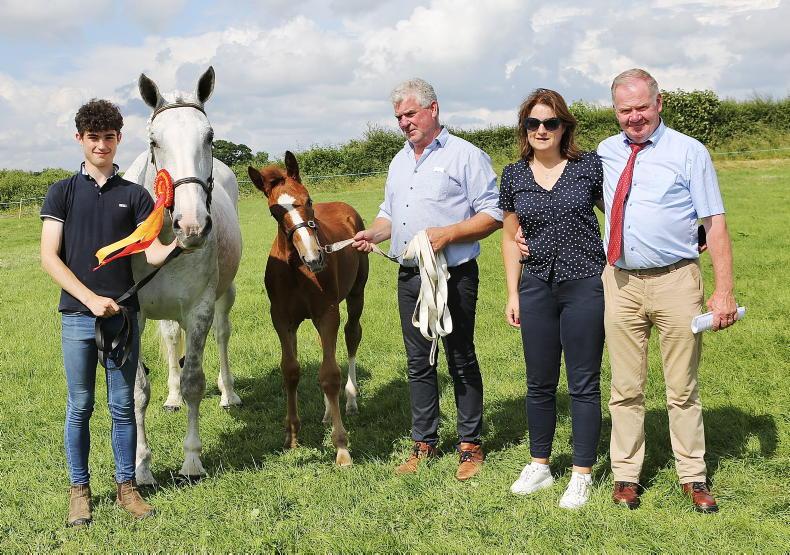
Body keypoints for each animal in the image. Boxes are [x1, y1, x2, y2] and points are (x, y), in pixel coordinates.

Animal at [122, 66, 243, 483]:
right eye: (154, 141)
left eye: (209, 136)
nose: (191, 225)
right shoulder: (134, 313)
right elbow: (138, 391)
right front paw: (141, 465)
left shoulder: (200, 308)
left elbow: (194, 381)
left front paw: (191, 460)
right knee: (173, 339)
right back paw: (171, 399)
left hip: (224, 297)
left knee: (221, 338)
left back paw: (229, 394)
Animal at [247, 152, 368, 466]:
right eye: (275, 211)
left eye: (309, 200)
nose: (315, 258)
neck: (296, 269)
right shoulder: (281, 319)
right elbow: (290, 371)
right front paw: (291, 436)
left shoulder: (327, 313)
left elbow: (329, 375)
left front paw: (341, 447)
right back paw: (327, 412)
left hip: (356, 294)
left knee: (352, 336)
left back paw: (351, 400)